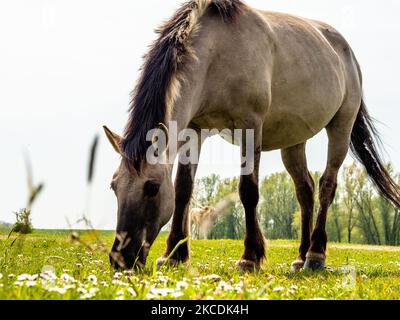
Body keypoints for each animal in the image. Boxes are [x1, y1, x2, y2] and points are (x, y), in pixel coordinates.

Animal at [104, 0, 400, 272]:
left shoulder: (250, 127)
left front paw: (250, 257)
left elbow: (248, 190)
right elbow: (183, 189)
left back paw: (315, 255)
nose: (121, 258)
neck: (216, 52)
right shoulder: (194, 130)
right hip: (294, 140)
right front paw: (174, 255)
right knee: (305, 191)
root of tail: (345, 51)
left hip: (341, 126)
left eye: (152, 188)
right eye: (114, 186)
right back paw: (300, 257)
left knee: (327, 185)